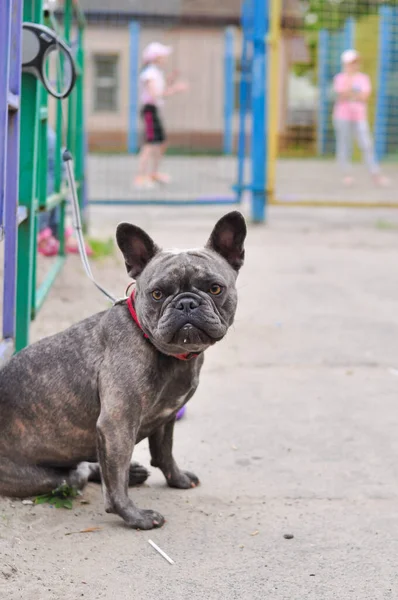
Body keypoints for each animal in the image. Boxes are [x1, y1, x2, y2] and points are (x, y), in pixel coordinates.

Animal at [0, 211, 247, 528]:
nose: (186, 303)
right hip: (56, 475)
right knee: (79, 474)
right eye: (157, 294)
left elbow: (165, 452)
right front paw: (134, 516)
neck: (169, 354)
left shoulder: (166, 417)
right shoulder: (116, 425)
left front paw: (177, 479)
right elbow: (115, 480)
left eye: (215, 288)